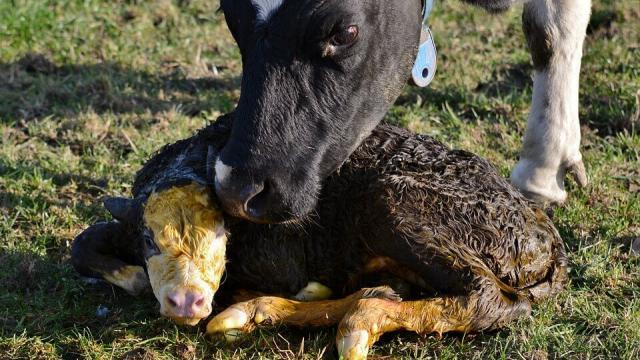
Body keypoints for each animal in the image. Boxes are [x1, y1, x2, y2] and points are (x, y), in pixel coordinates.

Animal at [72, 114, 568, 358]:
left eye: (220, 236)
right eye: (150, 239)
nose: (187, 301)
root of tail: (543, 230)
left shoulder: (282, 258)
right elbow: (83, 241)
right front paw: (136, 276)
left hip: (395, 202)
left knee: (489, 298)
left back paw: (354, 325)